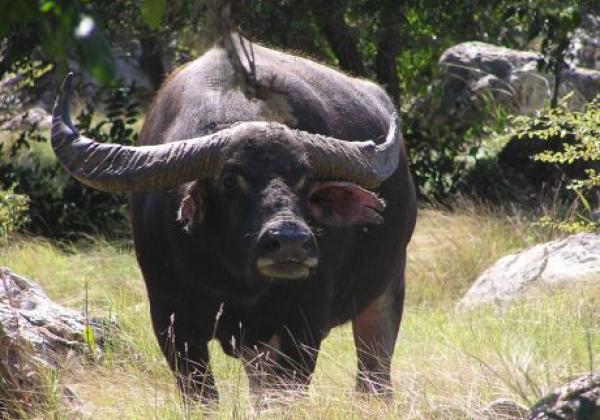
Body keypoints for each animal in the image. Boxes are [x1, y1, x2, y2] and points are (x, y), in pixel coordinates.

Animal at [51, 35, 414, 400]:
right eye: (229, 180)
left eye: (305, 180)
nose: (291, 243)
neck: (234, 282)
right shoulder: (171, 320)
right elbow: (202, 395)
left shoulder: (303, 323)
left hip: (387, 289)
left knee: (374, 374)